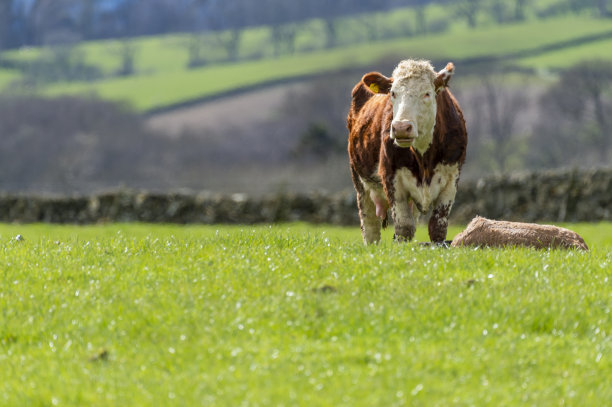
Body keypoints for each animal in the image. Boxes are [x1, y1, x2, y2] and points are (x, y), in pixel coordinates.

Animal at [346, 59, 466, 244]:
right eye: (393, 93)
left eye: (427, 94)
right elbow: (404, 228)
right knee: (370, 228)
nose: (401, 127)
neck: (424, 158)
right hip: (360, 184)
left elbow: (437, 228)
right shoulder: (391, 177)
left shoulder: (452, 178)